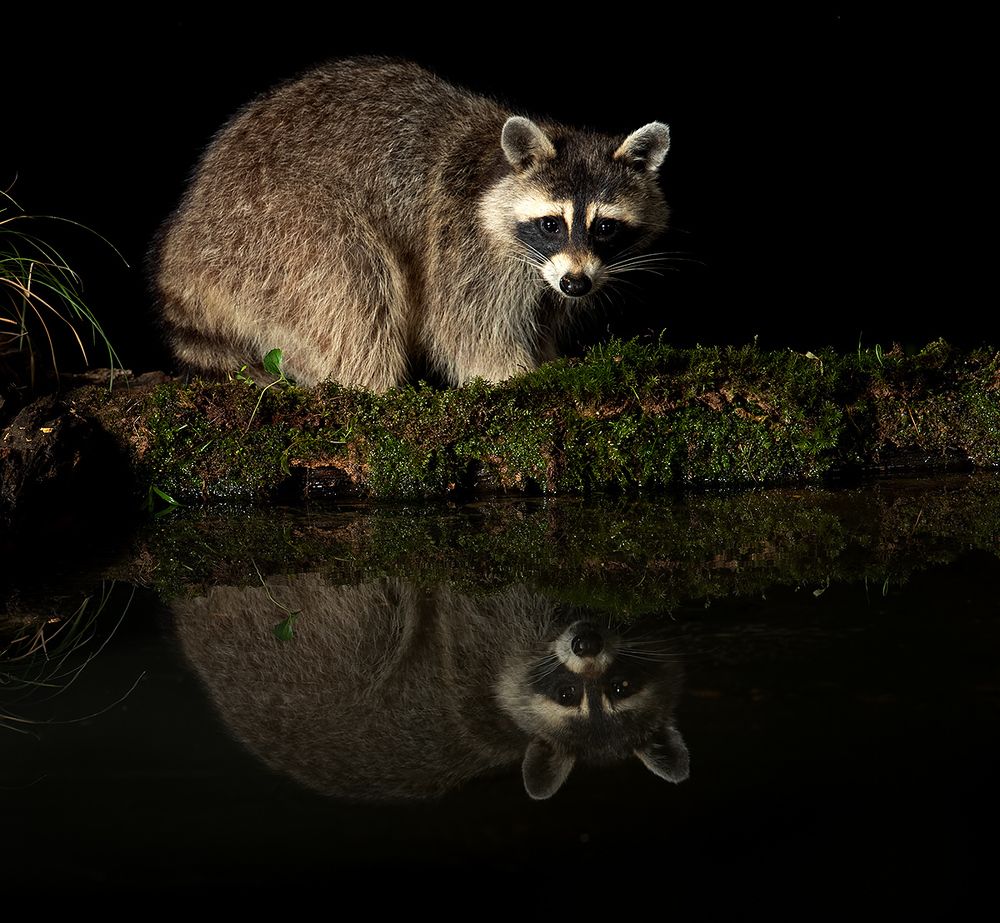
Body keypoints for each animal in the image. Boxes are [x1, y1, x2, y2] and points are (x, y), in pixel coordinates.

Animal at [153, 57, 671, 390]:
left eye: (604, 227)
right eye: (550, 224)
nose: (576, 284)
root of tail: (185, 239)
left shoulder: (555, 274)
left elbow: (543, 316)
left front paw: (549, 356)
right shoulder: (462, 243)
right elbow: (468, 333)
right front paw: (515, 374)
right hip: (273, 232)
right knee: (354, 285)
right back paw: (376, 388)